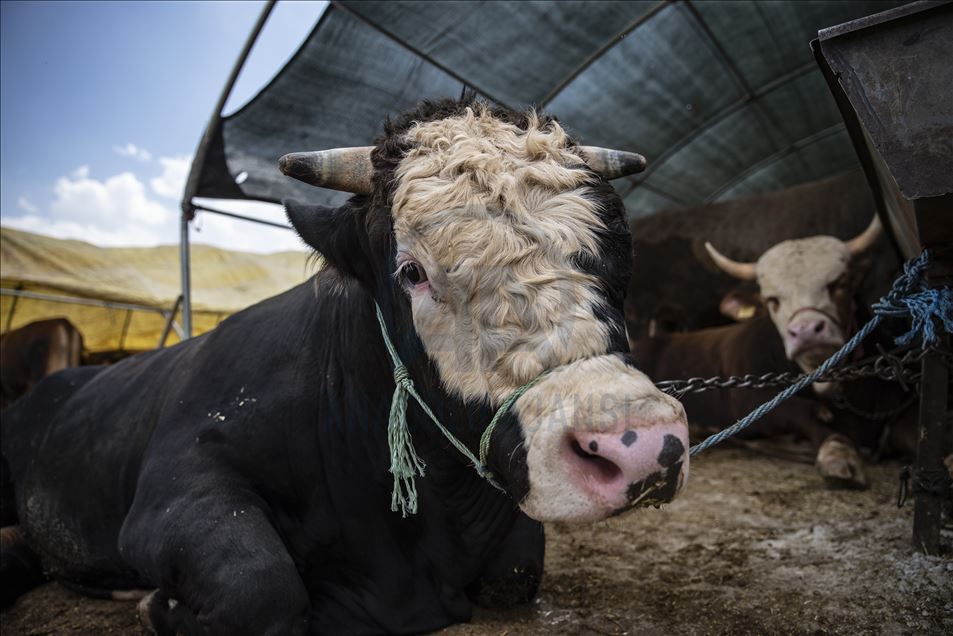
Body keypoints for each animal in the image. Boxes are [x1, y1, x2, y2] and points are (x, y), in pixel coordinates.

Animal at [3, 97, 692, 632]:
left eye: (620, 253)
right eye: (411, 271)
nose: (636, 445)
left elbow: (519, 567)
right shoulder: (174, 484)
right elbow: (259, 586)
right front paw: (153, 605)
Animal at [628, 216, 912, 490]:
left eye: (839, 283)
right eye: (772, 299)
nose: (807, 331)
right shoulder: (751, 400)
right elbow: (810, 417)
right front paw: (838, 457)